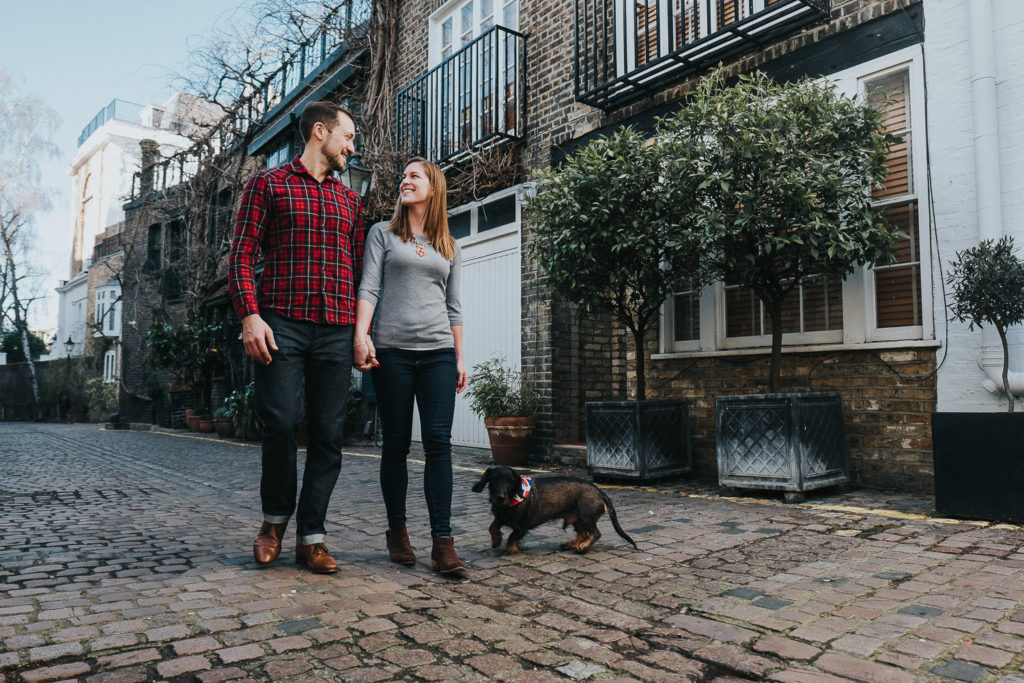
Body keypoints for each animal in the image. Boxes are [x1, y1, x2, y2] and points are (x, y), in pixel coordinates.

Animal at [468, 464, 630, 557]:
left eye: (510, 481)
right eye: (494, 479)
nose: (500, 497)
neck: (509, 503)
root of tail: (599, 491)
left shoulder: (522, 526)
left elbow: (513, 535)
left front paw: (510, 548)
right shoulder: (501, 516)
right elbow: (493, 526)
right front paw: (496, 540)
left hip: (585, 517)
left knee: (595, 533)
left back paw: (583, 547)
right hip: (576, 519)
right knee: (583, 533)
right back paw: (571, 544)